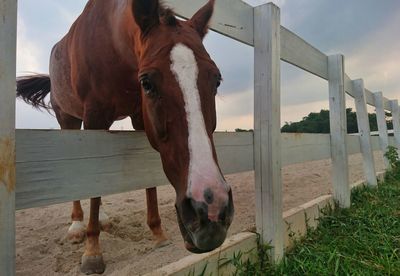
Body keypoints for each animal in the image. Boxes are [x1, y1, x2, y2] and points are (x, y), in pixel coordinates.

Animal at [16, 0, 234, 274]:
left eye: (217, 79)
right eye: (147, 82)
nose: (211, 209)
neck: (111, 44)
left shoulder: (139, 118)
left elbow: (145, 178)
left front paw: (158, 233)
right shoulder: (95, 117)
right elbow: (93, 183)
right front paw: (92, 251)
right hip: (68, 120)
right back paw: (77, 225)